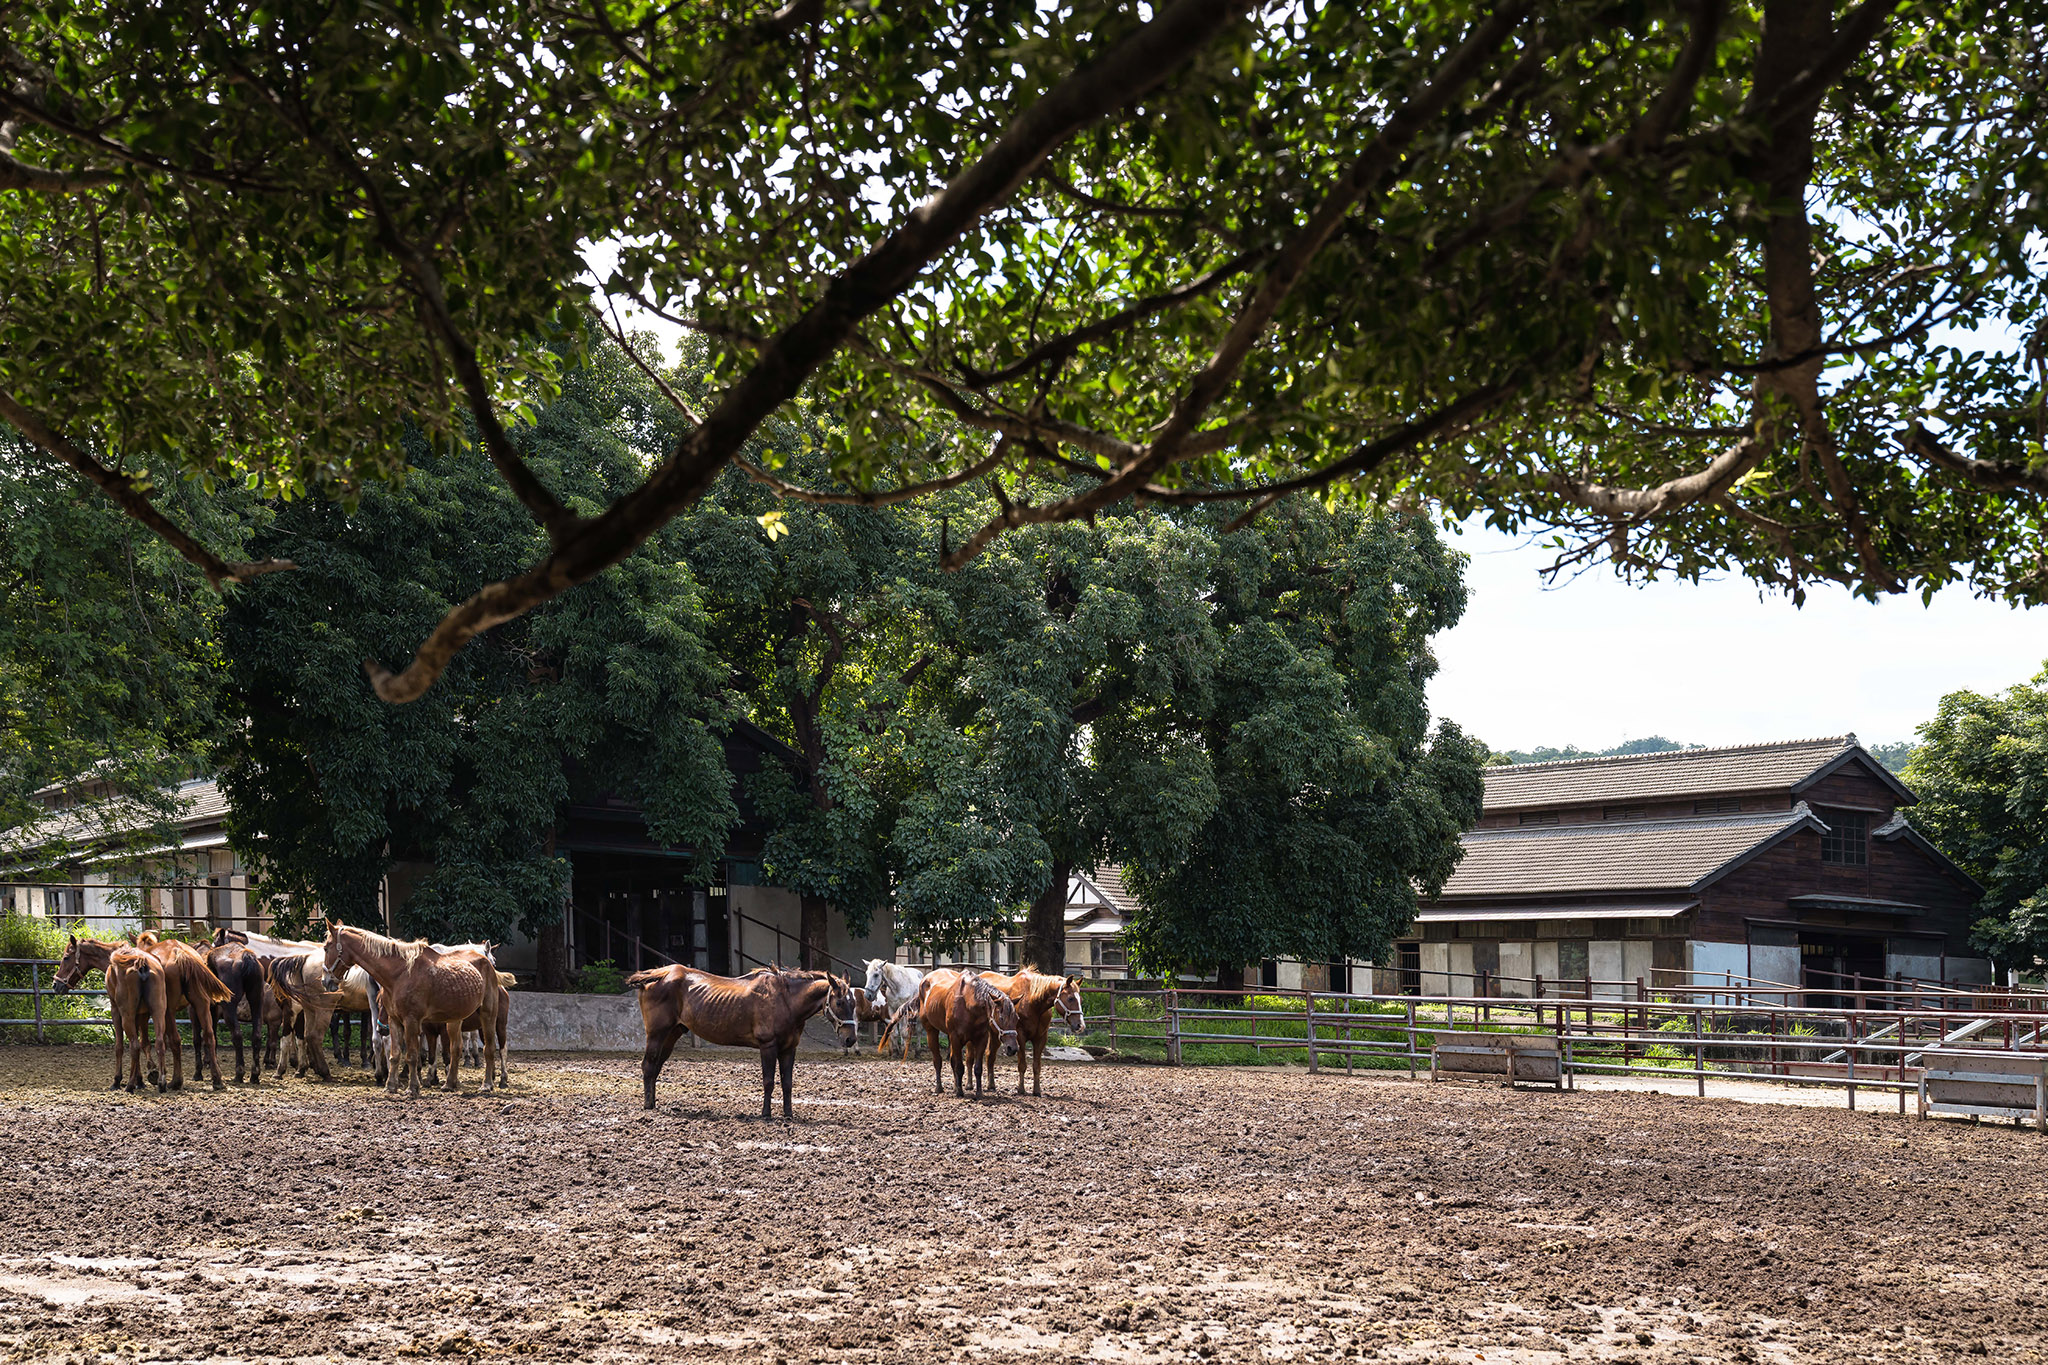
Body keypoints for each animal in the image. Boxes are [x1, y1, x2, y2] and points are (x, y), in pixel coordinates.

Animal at [53, 933, 167, 1096]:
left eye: (66, 957)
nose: (55, 984)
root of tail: (140, 963)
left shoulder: (115, 1011)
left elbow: (119, 1046)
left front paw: (118, 1080)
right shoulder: (141, 1014)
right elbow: (143, 1042)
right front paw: (141, 1079)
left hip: (126, 1016)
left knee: (134, 1046)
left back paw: (129, 1085)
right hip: (158, 1012)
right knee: (159, 1043)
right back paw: (161, 1083)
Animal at [319, 916, 495, 1096]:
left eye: (326, 948)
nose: (325, 980)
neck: (399, 973)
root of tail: (485, 963)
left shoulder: (411, 1021)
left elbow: (411, 1055)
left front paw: (412, 1088)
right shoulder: (394, 1020)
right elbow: (395, 1053)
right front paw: (391, 1085)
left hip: (487, 1015)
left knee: (488, 1048)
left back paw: (487, 1084)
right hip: (454, 1020)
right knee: (455, 1049)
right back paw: (450, 1083)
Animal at [618, 961, 851, 1121]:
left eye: (854, 1002)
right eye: (839, 1002)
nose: (851, 1039)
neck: (785, 999)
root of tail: (659, 975)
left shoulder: (788, 1049)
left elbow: (787, 1083)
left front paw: (788, 1114)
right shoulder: (768, 1046)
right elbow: (769, 1081)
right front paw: (766, 1114)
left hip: (672, 1033)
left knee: (656, 1067)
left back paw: (653, 1102)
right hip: (657, 1033)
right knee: (648, 1066)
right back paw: (648, 1105)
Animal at [921, 965, 1024, 1105]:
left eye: (1017, 1018)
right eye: (1001, 1018)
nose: (1012, 1048)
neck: (968, 1003)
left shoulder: (981, 1039)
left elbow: (977, 1068)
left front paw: (978, 1093)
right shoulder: (956, 1038)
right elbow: (959, 1066)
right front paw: (960, 1093)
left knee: (952, 1060)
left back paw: (955, 1086)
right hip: (931, 1030)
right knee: (938, 1060)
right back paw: (939, 1088)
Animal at [974, 965, 1089, 1096]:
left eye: (1081, 999)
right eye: (1070, 998)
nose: (1080, 1025)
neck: (1033, 1001)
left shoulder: (1040, 1038)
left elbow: (1037, 1066)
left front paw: (1037, 1091)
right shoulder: (1020, 1037)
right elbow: (1022, 1065)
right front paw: (1021, 1089)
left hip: (997, 1035)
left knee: (990, 1055)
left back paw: (991, 1085)